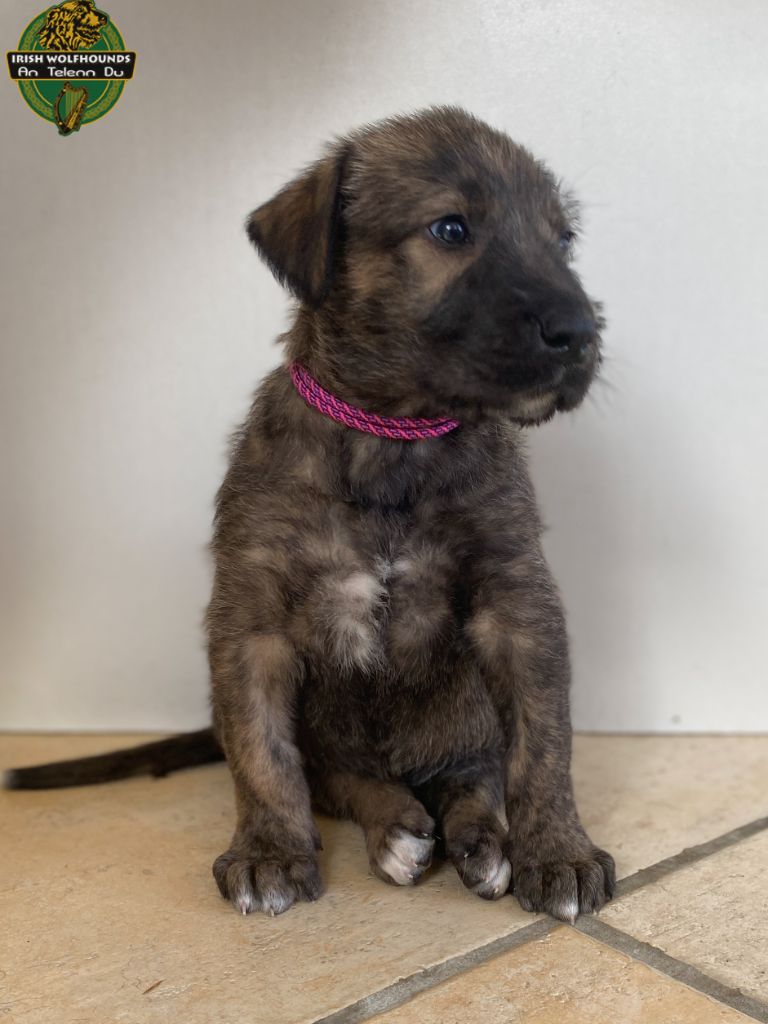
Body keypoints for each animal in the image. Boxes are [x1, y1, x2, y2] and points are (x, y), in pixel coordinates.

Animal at [6, 107, 615, 924]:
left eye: (563, 240)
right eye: (451, 228)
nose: (580, 333)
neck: (394, 437)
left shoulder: (517, 603)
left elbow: (543, 744)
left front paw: (558, 850)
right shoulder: (252, 619)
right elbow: (263, 753)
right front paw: (269, 851)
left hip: (466, 716)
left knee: (470, 776)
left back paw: (482, 841)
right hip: (333, 736)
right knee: (344, 780)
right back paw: (397, 827)